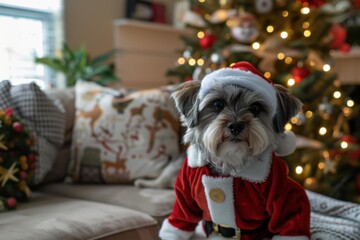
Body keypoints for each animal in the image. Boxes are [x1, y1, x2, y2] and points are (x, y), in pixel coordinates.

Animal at [159, 62, 310, 240]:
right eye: (217, 104)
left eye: (256, 108)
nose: (236, 125)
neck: (230, 161)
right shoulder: (185, 192)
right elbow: (182, 216)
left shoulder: (281, 190)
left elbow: (290, 213)